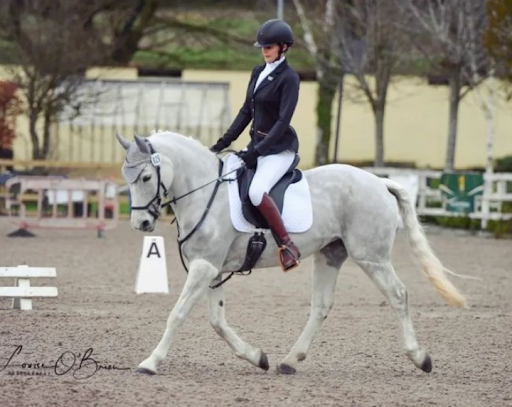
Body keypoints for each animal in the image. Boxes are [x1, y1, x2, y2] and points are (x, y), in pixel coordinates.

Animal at [117, 131, 468, 376]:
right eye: (126, 177)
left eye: (146, 177)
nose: (141, 223)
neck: (204, 191)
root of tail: (381, 183)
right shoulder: (213, 270)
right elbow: (217, 321)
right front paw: (257, 357)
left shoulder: (204, 267)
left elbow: (177, 315)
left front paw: (150, 362)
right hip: (330, 254)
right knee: (321, 306)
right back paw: (289, 361)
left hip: (371, 257)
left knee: (398, 295)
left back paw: (419, 357)